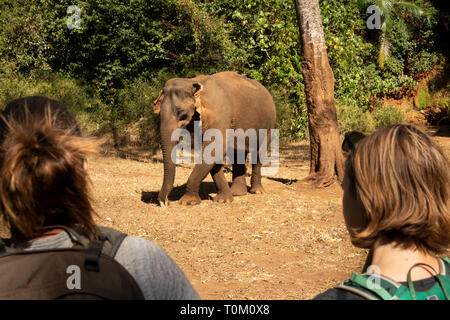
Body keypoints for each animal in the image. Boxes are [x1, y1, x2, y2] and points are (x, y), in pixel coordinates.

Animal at [154, 71, 274, 206]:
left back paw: (257, 191)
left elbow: (214, 148)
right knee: (238, 154)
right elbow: (211, 151)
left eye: (183, 115)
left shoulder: (220, 115)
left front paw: (188, 202)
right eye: (159, 114)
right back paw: (237, 193)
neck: (192, 81)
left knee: (259, 153)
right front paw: (223, 200)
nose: (165, 202)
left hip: (270, 123)